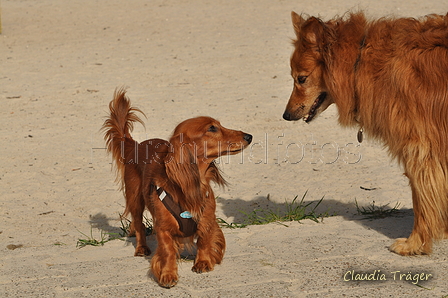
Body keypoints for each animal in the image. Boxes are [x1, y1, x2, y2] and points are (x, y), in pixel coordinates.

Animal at [101, 88, 252, 286]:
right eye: (212, 128)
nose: (249, 136)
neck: (189, 186)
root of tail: (136, 145)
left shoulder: (207, 220)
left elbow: (204, 241)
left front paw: (203, 262)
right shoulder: (163, 228)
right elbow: (167, 251)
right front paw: (167, 274)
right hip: (135, 198)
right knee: (138, 224)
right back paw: (141, 247)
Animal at [284, 11, 448, 256]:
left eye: (301, 79)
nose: (285, 115)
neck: (360, 61)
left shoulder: (420, 151)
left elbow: (422, 202)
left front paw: (415, 243)